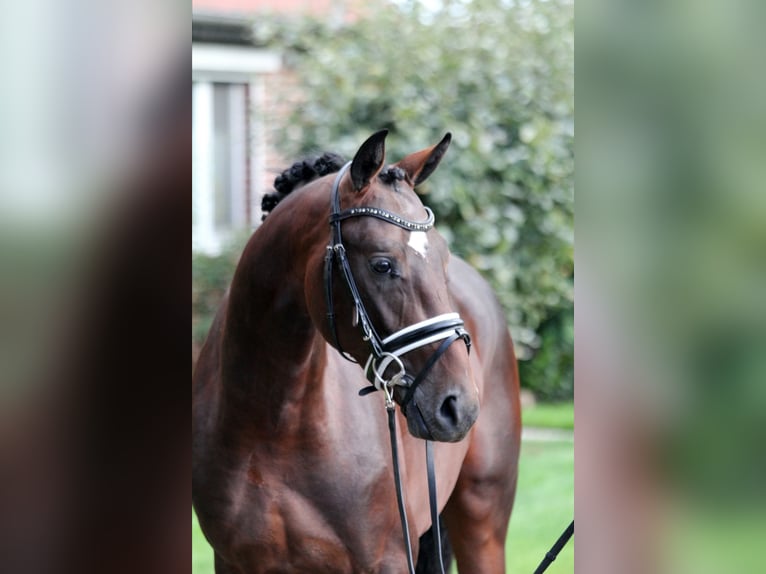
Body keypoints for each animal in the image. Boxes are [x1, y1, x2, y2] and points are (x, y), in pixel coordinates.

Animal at [192, 132, 524, 574]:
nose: (459, 406)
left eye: (443, 260)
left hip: (482, 521)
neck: (274, 425)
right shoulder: (233, 561)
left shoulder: (388, 559)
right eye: (382, 264)